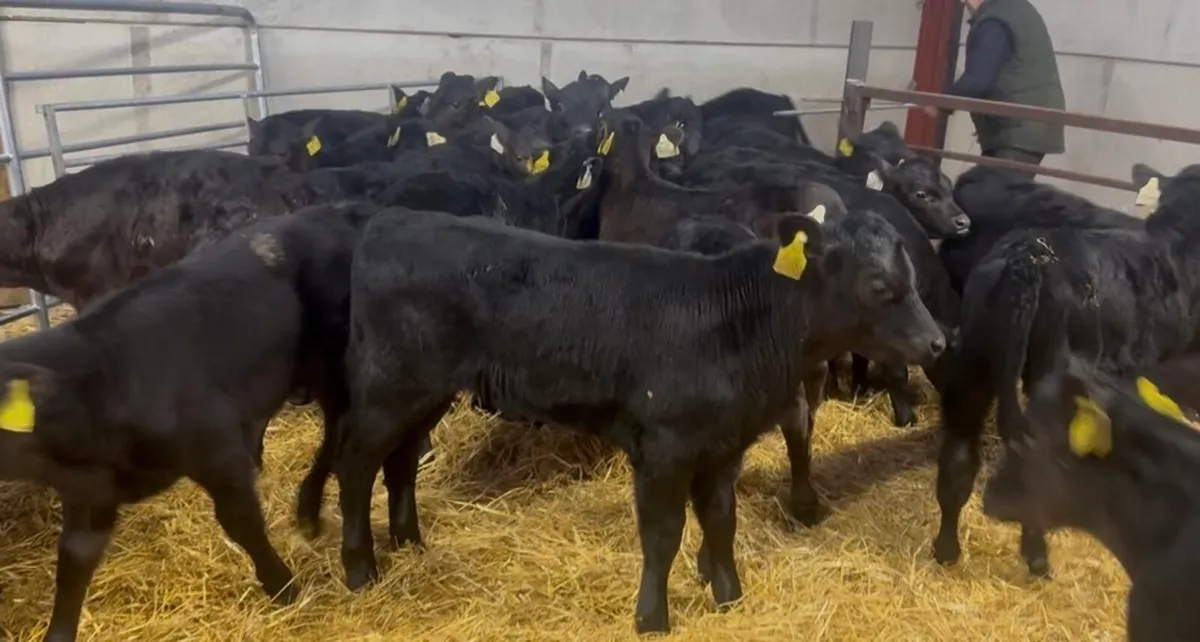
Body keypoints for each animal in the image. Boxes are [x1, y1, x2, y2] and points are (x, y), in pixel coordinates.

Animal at [332, 200, 944, 634]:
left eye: (915, 276)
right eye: (879, 286)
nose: (937, 342)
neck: (742, 321)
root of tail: (393, 218)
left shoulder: (722, 447)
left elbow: (720, 521)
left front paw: (729, 598)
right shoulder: (663, 448)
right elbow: (663, 534)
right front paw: (653, 619)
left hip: (424, 391)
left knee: (401, 462)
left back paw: (410, 544)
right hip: (389, 387)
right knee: (357, 465)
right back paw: (361, 569)